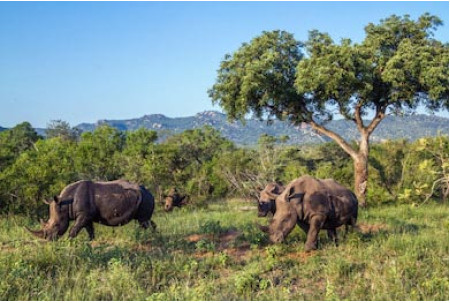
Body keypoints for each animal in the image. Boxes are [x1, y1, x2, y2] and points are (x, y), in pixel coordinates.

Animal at [26, 179, 157, 241]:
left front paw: (68, 241)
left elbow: (74, 230)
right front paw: (90, 241)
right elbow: (90, 230)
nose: (49, 240)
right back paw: (152, 235)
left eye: (56, 225)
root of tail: (151, 193)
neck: (65, 203)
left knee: (143, 221)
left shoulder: (84, 215)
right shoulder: (86, 215)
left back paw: (146, 237)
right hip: (144, 198)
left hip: (145, 198)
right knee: (146, 220)